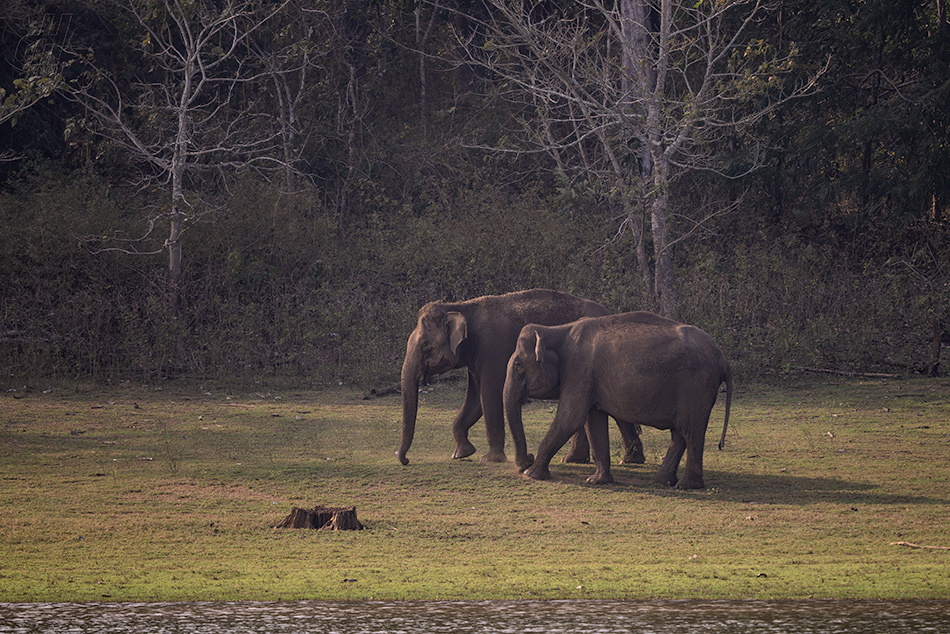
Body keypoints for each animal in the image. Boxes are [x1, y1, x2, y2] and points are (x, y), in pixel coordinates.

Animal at [394, 290, 648, 464]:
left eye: (425, 345)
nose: (404, 459)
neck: (461, 306)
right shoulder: (474, 358)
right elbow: (474, 401)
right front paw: (461, 453)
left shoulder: (492, 350)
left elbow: (489, 396)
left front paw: (489, 459)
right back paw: (587, 459)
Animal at [506, 308, 736, 486]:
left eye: (518, 365)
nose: (527, 459)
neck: (557, 329)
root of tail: (723, 358)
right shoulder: (588, 378)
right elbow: (593, 422)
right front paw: (597, 481)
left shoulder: (579, 371)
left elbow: (570, 419)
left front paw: (532, 474)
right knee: (679, 433)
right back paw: (661, 481)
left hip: (695, 387)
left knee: (691, 431)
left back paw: (686, 485)